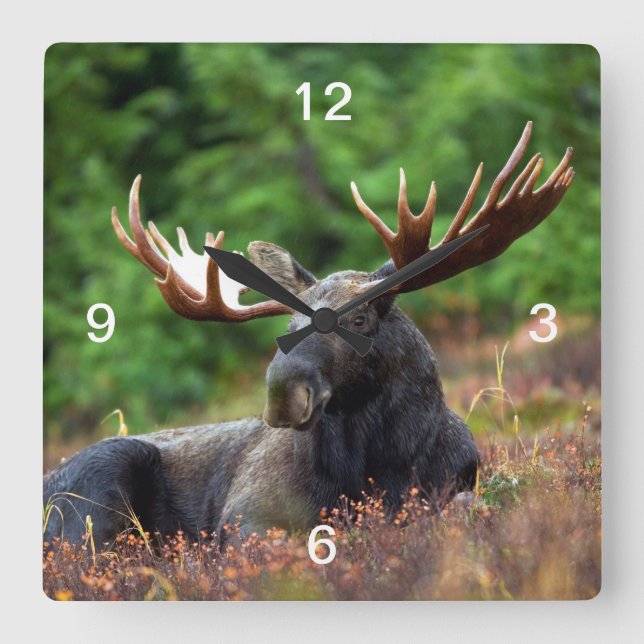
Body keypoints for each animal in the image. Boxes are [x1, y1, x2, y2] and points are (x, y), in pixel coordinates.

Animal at [43, 122, 574, 546]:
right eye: (288, 326)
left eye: (359, 320)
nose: (283, 393)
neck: (379, 467)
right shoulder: (246, 514)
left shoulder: (457, 485)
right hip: (97, 488)